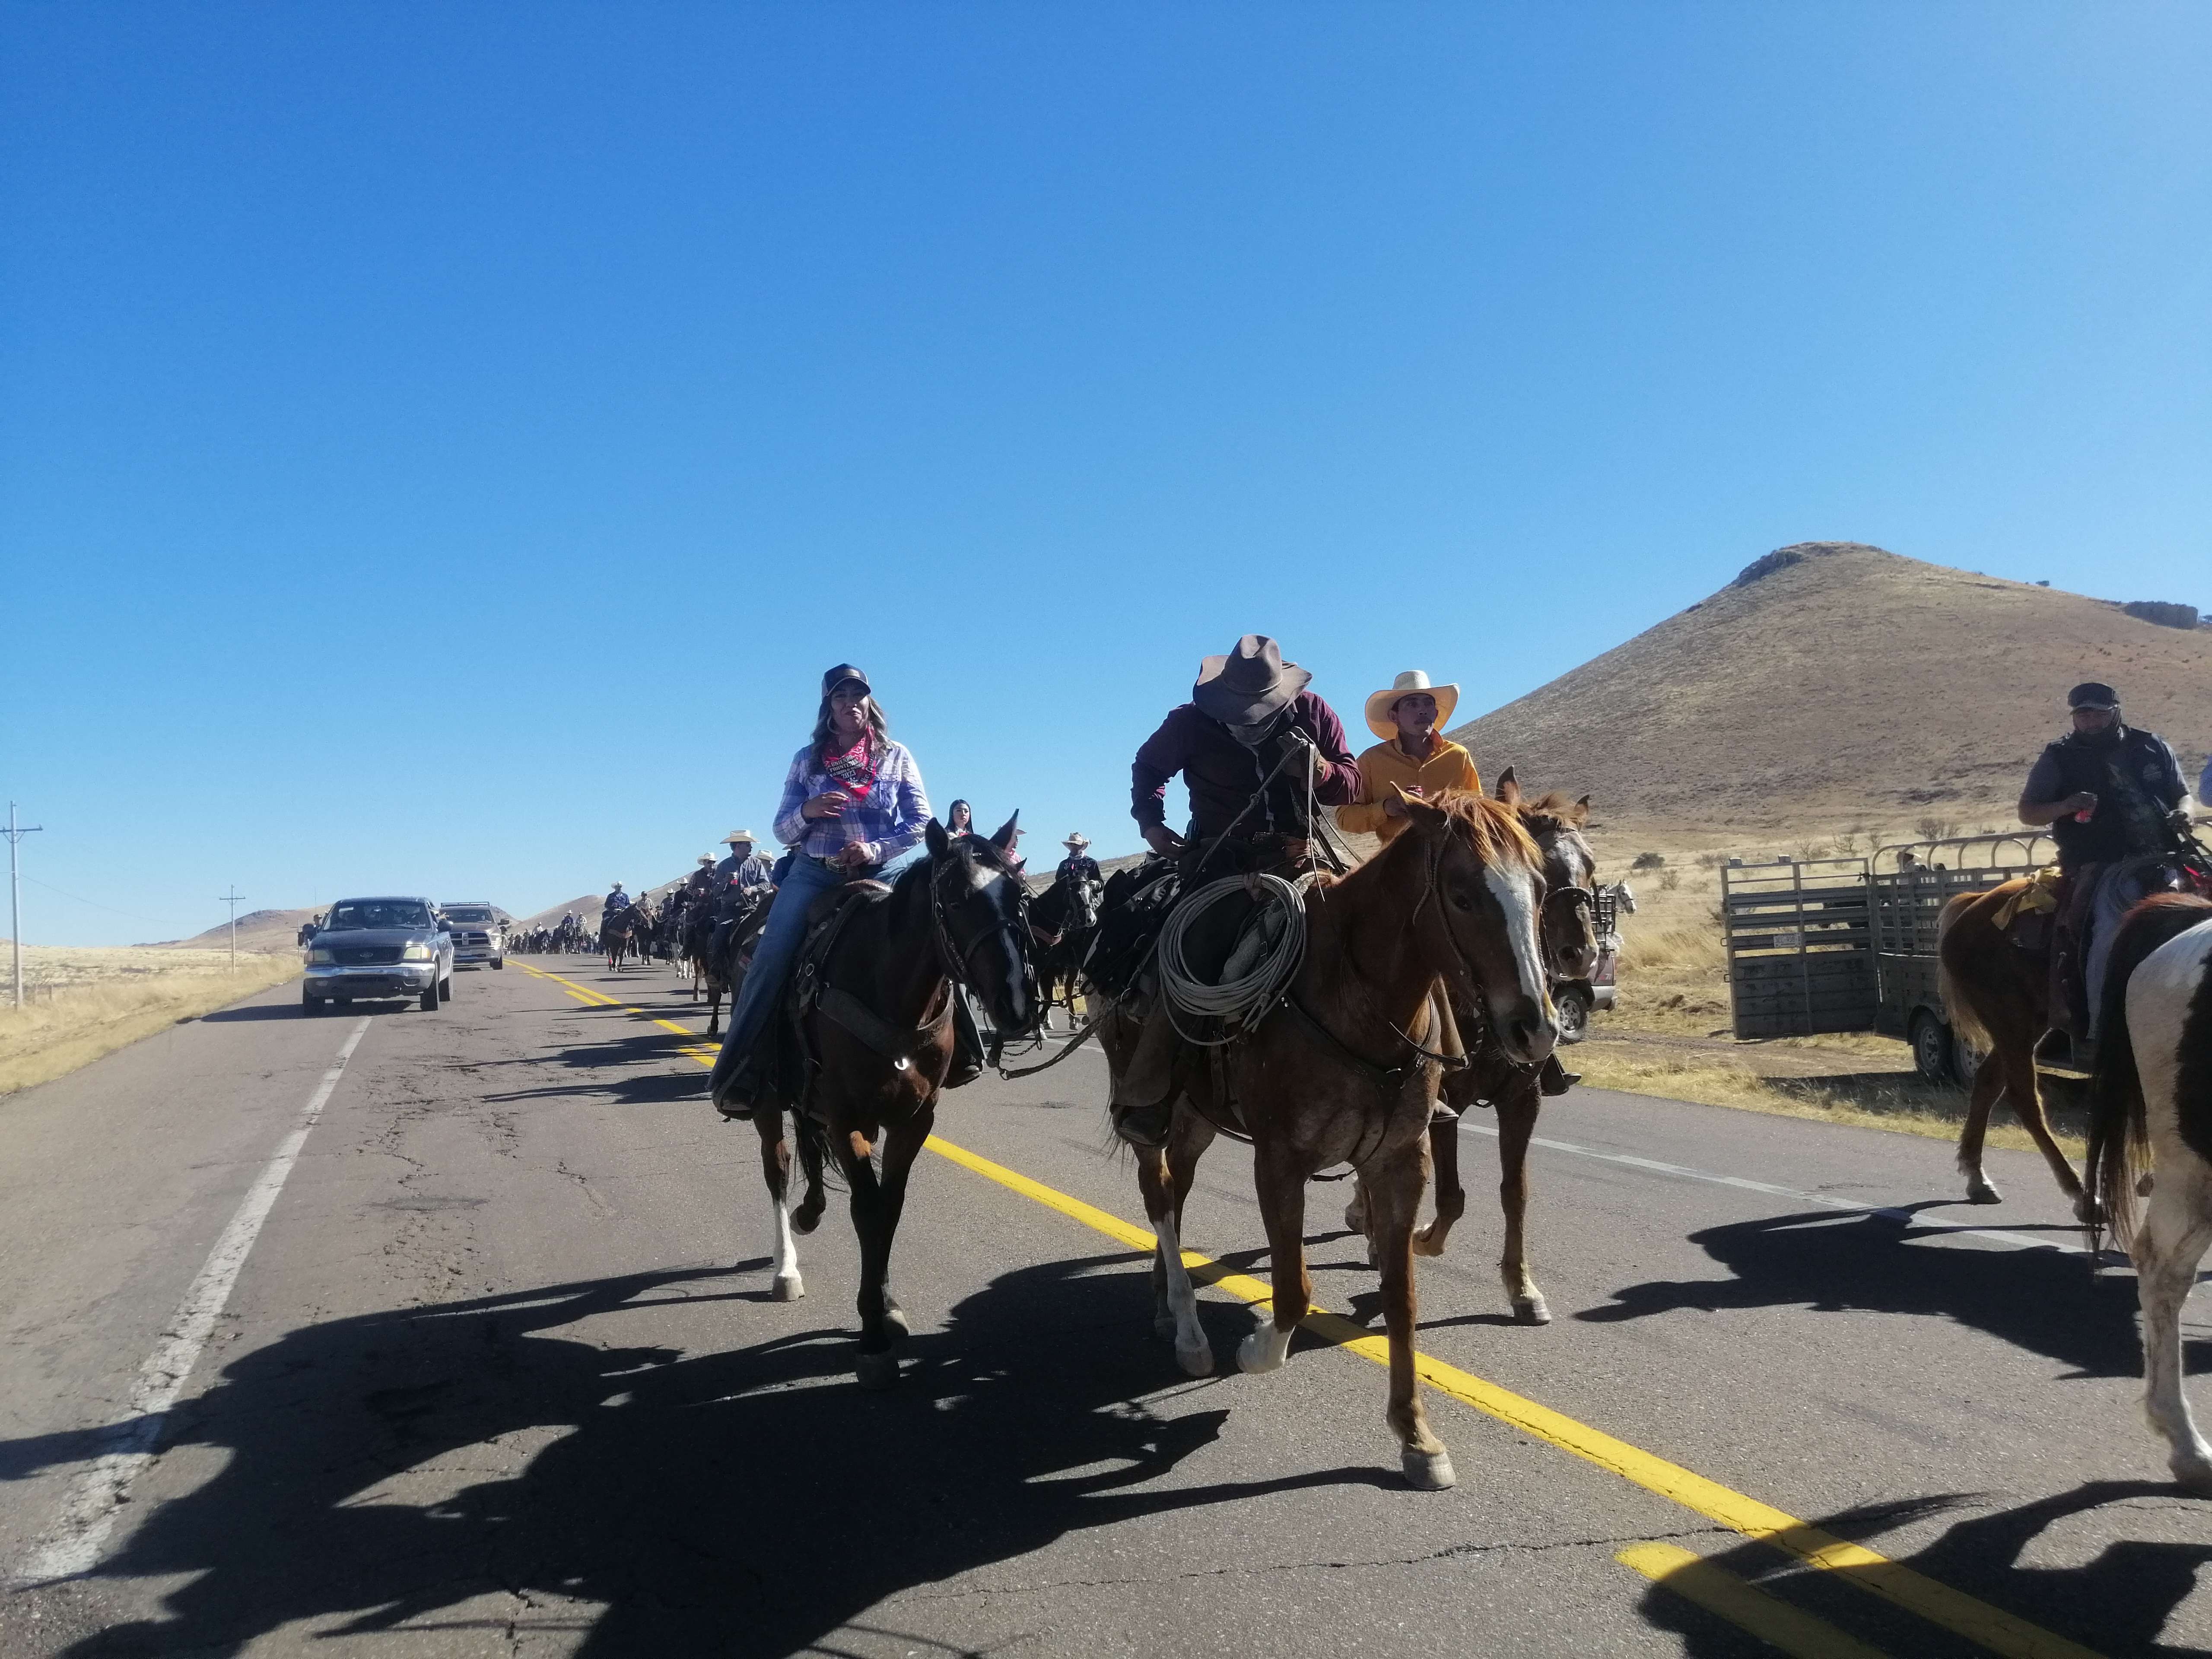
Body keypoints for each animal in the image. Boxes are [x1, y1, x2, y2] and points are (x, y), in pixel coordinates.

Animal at [743, 818, 1035, 1389]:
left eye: (1018, 895)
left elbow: (890, 1209)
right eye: (958, 898)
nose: (1016, 1004)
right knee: (778, 1166)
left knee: (808, 1151)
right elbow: (867, 1209)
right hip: (769, 1102)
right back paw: (786, 1268)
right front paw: (872, 1337)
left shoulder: (912, 1120)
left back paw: (810, 1213)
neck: (889, 990)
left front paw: (887, 1306)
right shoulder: (847, 1119)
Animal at [1106, 796, 1557, 1495]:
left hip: (1197, 1121)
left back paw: (1164, 1306)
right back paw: (1189, 1334)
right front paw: (1257, 1351)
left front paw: (1416, 1436)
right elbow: (1294, 1290)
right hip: (1153, 1107)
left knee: (1176, 1198)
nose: (1535, 1028)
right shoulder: (1279, 1163)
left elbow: (1401, 1298)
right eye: (1460, 895)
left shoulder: (1401, 1162)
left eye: (1539, 887)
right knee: (1158, 1198)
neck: (1359, 1004)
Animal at [1938, 885, 2088, 1221]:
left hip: (2027, 1025)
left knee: (1987, 1082)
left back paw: (1978, 1180)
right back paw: (2082, 1195)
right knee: (2024, 1098)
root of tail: (1973, 903)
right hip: (2012, 1022)